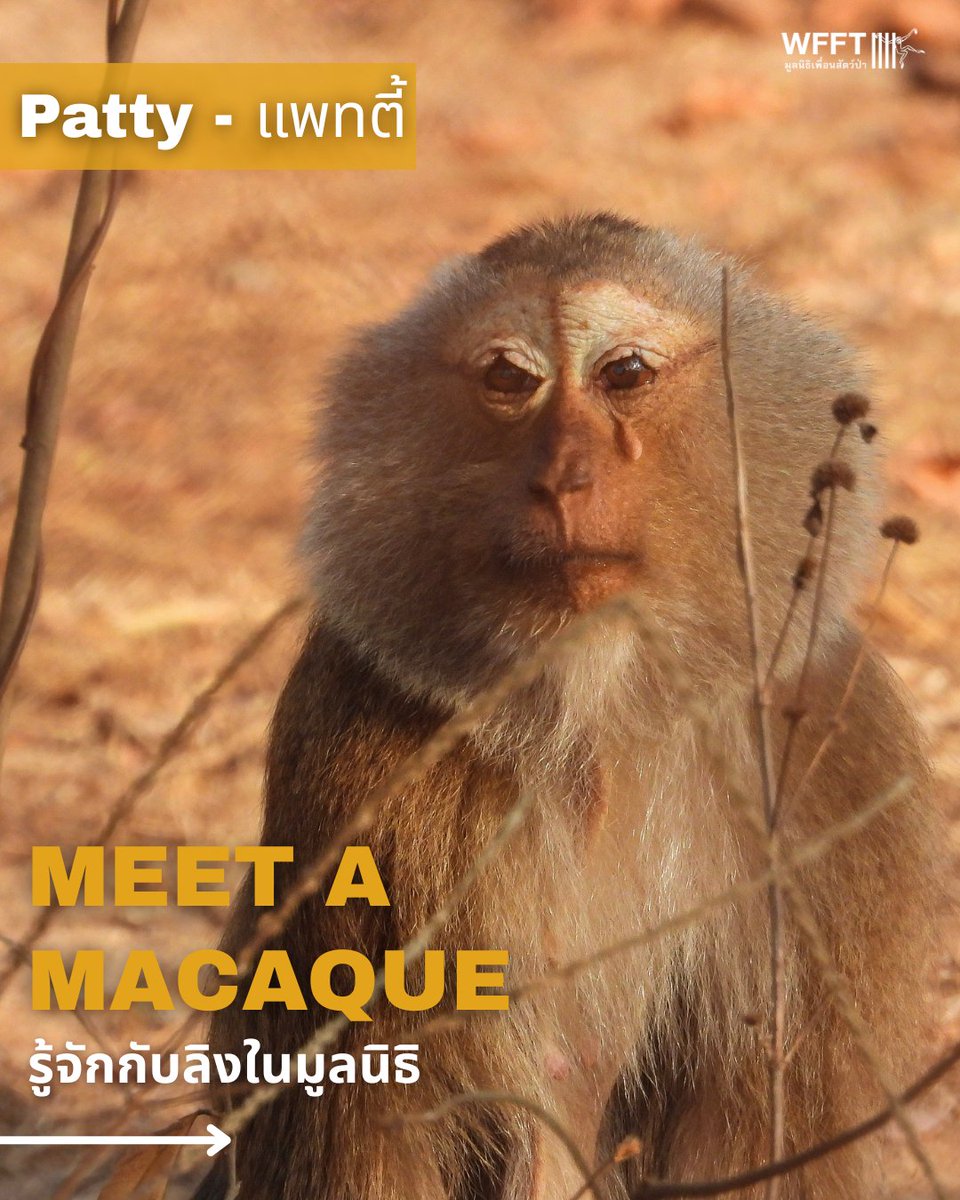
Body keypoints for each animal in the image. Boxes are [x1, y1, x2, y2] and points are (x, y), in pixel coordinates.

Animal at [195, 213, 939, 1200]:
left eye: (623, 373)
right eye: (512, 379)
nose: (561, 478)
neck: (602, 718)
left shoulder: (835, 760)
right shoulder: (359, 772)